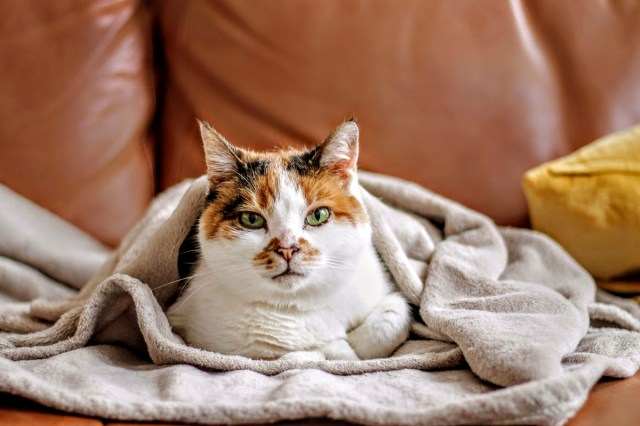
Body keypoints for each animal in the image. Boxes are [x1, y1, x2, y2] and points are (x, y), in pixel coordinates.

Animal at [166, 120, 410, 360]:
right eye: (251, 219)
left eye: (318, 215)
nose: (287, 249)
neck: (298, 306)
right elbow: (307, 352)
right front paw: (337, 347)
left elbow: (396, 314)